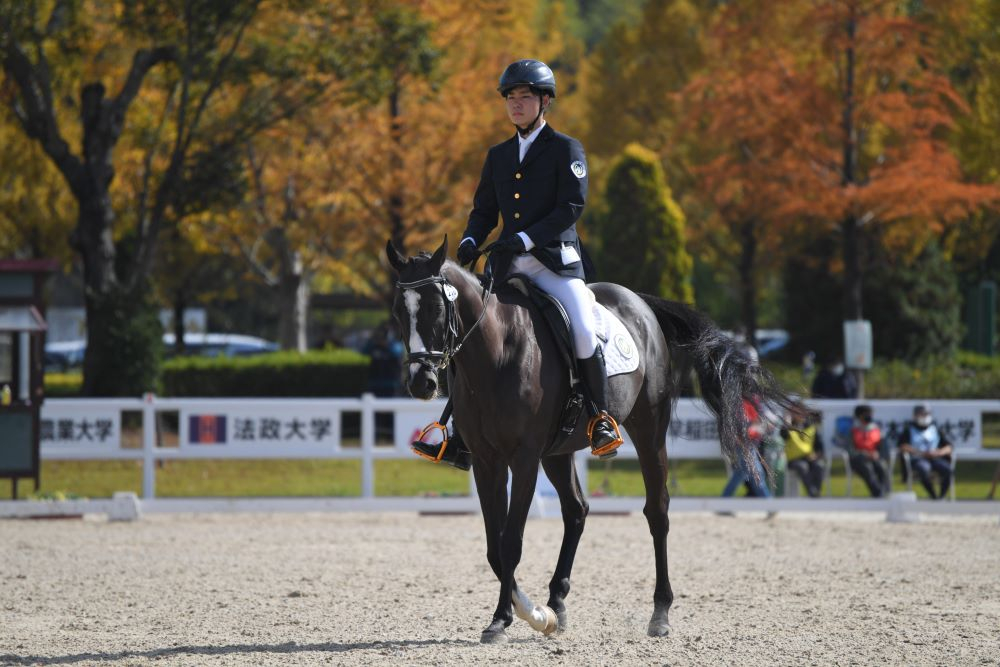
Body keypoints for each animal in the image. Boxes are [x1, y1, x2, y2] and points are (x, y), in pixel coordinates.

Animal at [386, 236, 793, 644]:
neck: (496, 353)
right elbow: (494, 547)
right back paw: (557, 602)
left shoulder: (524, 458)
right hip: (558, 452)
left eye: (437, 308)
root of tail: (639, 302)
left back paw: (660, 612)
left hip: (648, 431)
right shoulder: (487, 462)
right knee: (576, 510)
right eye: (398, 312)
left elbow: (511, 542)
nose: (421, 382)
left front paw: (515, 616)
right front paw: (525, 615)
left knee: (657, 511)